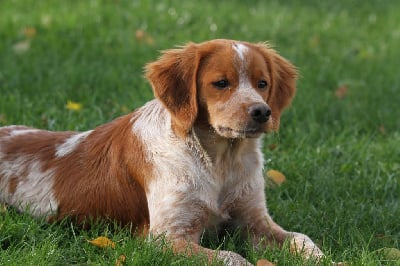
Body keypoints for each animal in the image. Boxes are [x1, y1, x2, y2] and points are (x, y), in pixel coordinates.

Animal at [0, 39, 324, 264]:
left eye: (262, 83)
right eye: (221, 83)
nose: (262, 112)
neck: (219, 161)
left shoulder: (254, 221)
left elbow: (302, 239)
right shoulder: (166, 238)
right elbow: (232, 258)